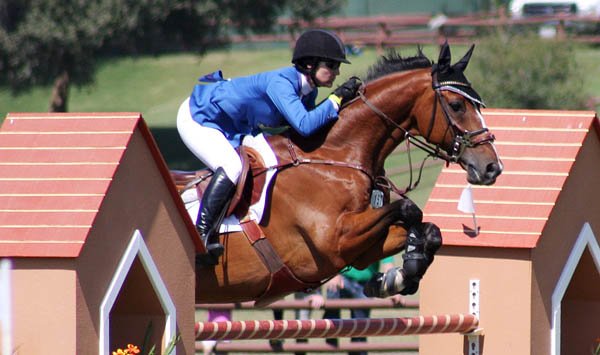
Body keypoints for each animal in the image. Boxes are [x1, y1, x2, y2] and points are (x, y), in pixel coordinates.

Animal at [173, 40, 502, 304]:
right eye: (457, 105)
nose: (491, 167)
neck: (334, 156)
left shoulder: (358, 250)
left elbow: (429, 229)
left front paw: (396, 276)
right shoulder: (335, 242)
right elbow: (410, 209)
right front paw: (402, 271)